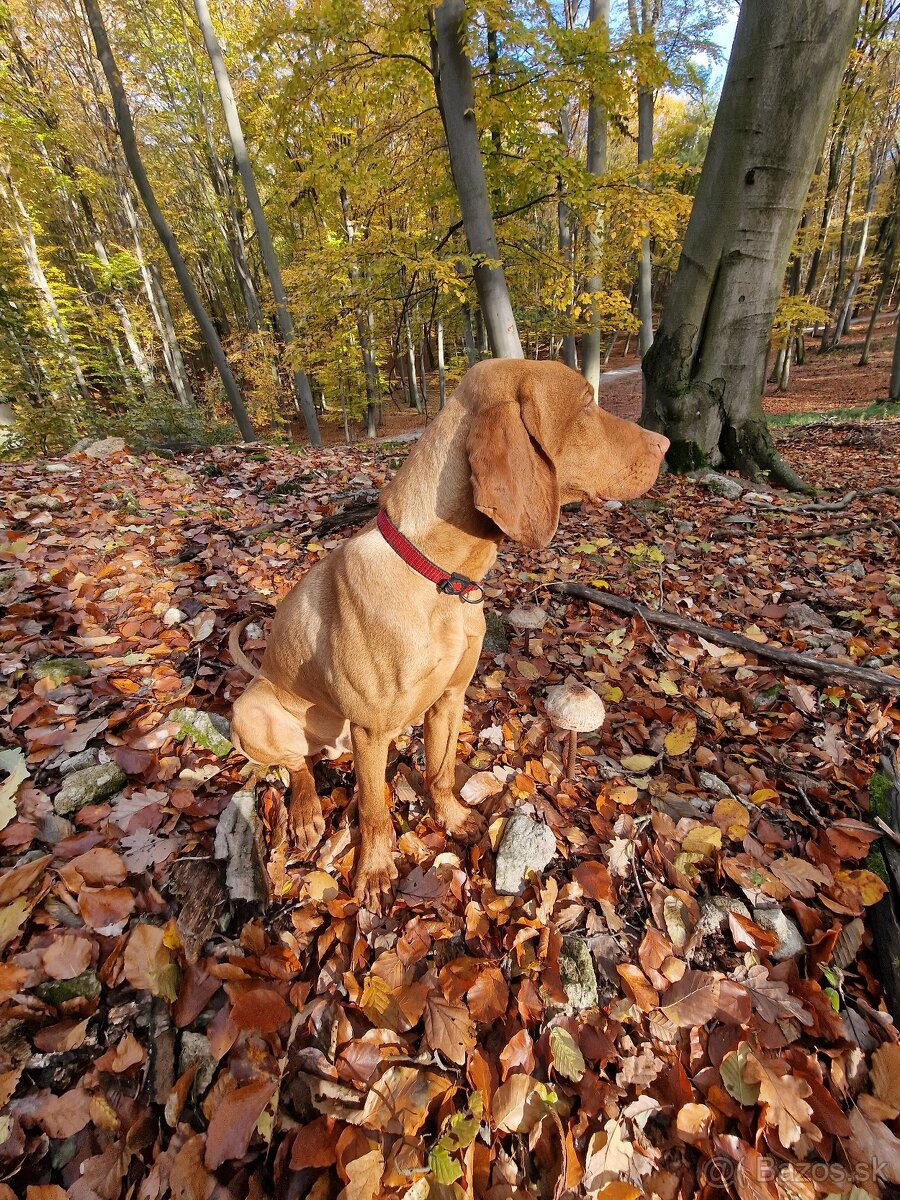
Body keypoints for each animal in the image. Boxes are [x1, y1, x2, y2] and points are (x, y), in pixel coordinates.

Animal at [230, 355, 672, 907]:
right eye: (588, 405)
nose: (666, 443)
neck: (441, 579)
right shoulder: (371, 729)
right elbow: (374, 813)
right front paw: (374, 870)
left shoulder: (450, 697)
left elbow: (439, 773)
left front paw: (453, 819)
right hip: (251, 711)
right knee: (297, 766)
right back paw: (308, 810)